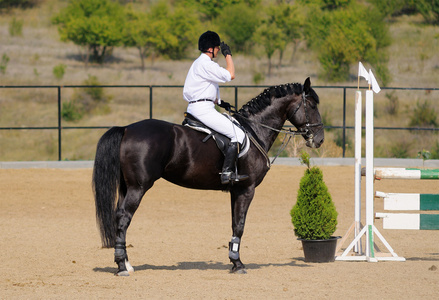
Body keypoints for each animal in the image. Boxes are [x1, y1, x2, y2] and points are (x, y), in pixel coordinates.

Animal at [93, 77, 324, 274]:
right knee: (124, 217)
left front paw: (233, 260)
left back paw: (126, 264)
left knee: (118, 217)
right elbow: (240, 225)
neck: (254, 129)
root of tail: (126, 129)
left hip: (127, 186)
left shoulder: (236, 190)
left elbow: (234, 223)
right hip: (138, 187)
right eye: (312, 106)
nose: (319, 140)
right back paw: (121, 266)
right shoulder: (246, 189)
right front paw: (238, 264)